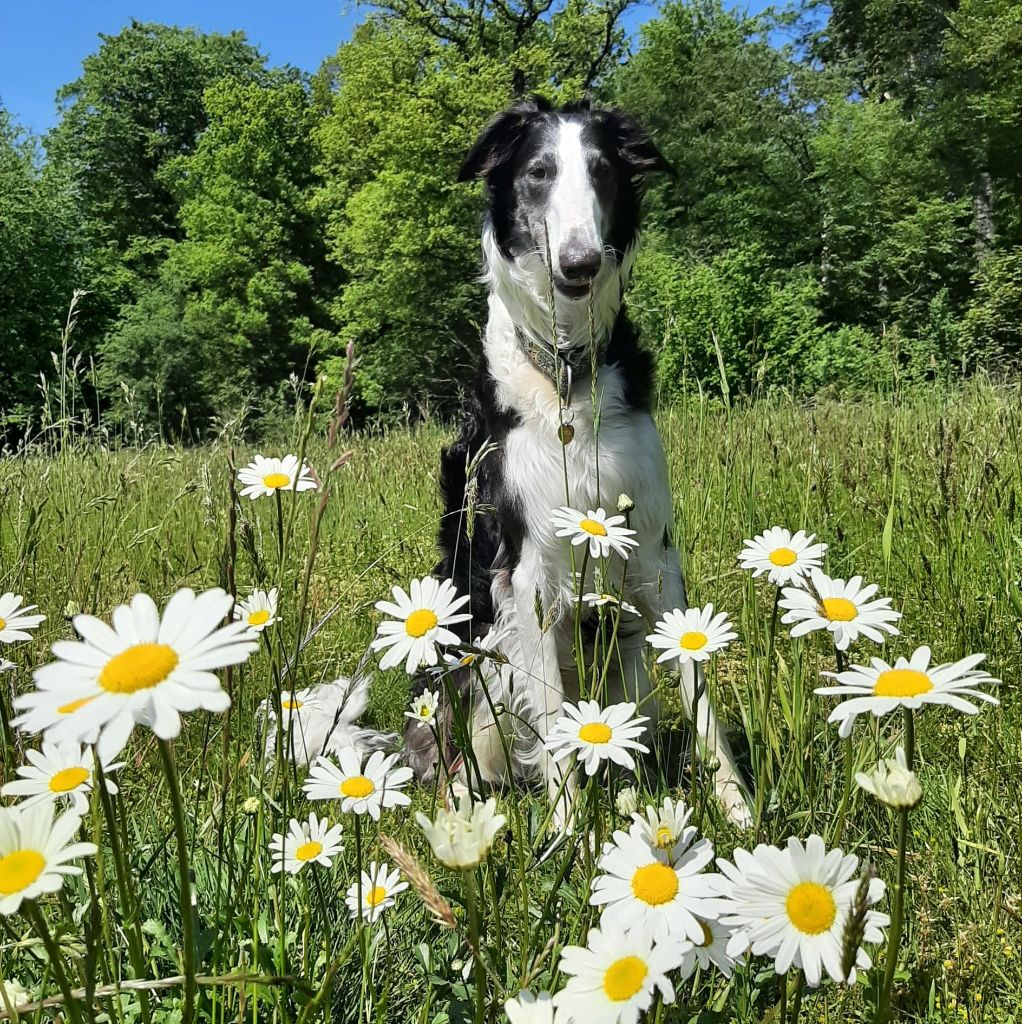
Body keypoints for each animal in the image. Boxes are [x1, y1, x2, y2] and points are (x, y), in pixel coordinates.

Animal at [403, 96, 757, 827]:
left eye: (601, 171)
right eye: (538, 172)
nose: (580, 263)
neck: (567, 375)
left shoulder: (653, 547)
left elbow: (700, 694)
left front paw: (737, 809)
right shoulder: (526, 574)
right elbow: (554, 748)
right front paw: (568, 836)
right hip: (475, 657)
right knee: (464, 757)